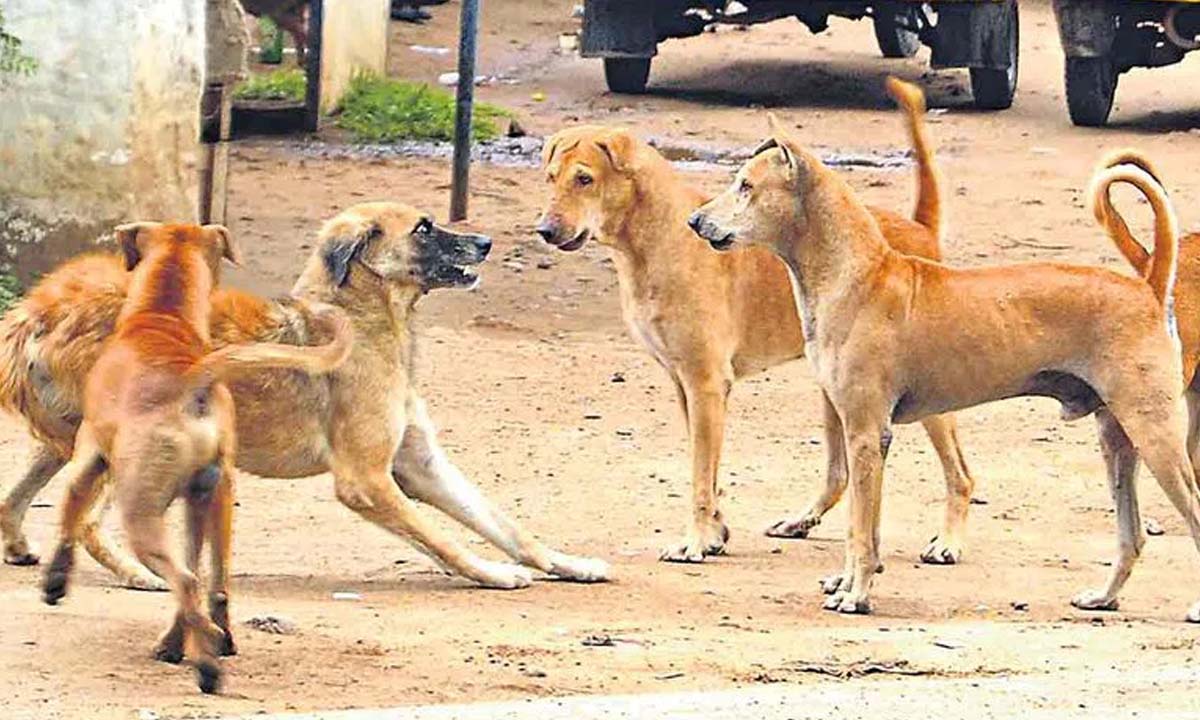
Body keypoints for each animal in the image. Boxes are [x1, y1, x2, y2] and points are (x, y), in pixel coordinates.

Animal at [0, 198, 609, 607]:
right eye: (423, 228)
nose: (486, 243)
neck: (365, 318)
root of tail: (40, 311)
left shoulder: (420, 464)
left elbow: (507, 525)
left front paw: (567, 563)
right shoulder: (367, 480)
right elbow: (441, 538)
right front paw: (492, 573)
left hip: (71, 440)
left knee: (19, 496)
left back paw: (22, 545)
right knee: (89, 522)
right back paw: (141, 574)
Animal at [37, 220, 352, 691]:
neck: (162, 316)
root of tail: (191, 381)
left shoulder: (89, 455)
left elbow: (69, 514)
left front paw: (55, 582)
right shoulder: (206, 495)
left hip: (140, 512)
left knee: (187, 583)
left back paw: (207, 660)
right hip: (213, 499)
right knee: (210, 583)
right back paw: (203, 640)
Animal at [535, 78, 974, 566]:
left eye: (585, 179)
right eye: (551, 177)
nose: (545, 230)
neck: (657, 238)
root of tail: (920, 229)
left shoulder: (706, 383)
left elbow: (699, 477)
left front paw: (695, 541)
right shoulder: (685, 387)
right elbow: (708, 471)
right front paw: (715, 533)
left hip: (926, 399)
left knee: (960, 474)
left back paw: (949, 542)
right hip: (834, 393)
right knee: (838, 475)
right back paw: (800, 521)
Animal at [691, 112, 1200, 619]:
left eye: (746, 186)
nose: (694, 221)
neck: (856, 276)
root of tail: (1148, 287)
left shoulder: (865, 434)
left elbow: (860, 529)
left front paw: (856, 594)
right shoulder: (863, 434)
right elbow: (863, 527)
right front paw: (851, 583)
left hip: (1155, 433)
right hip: (1117, 439)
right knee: (1132, 536)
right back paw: (1103, 597)